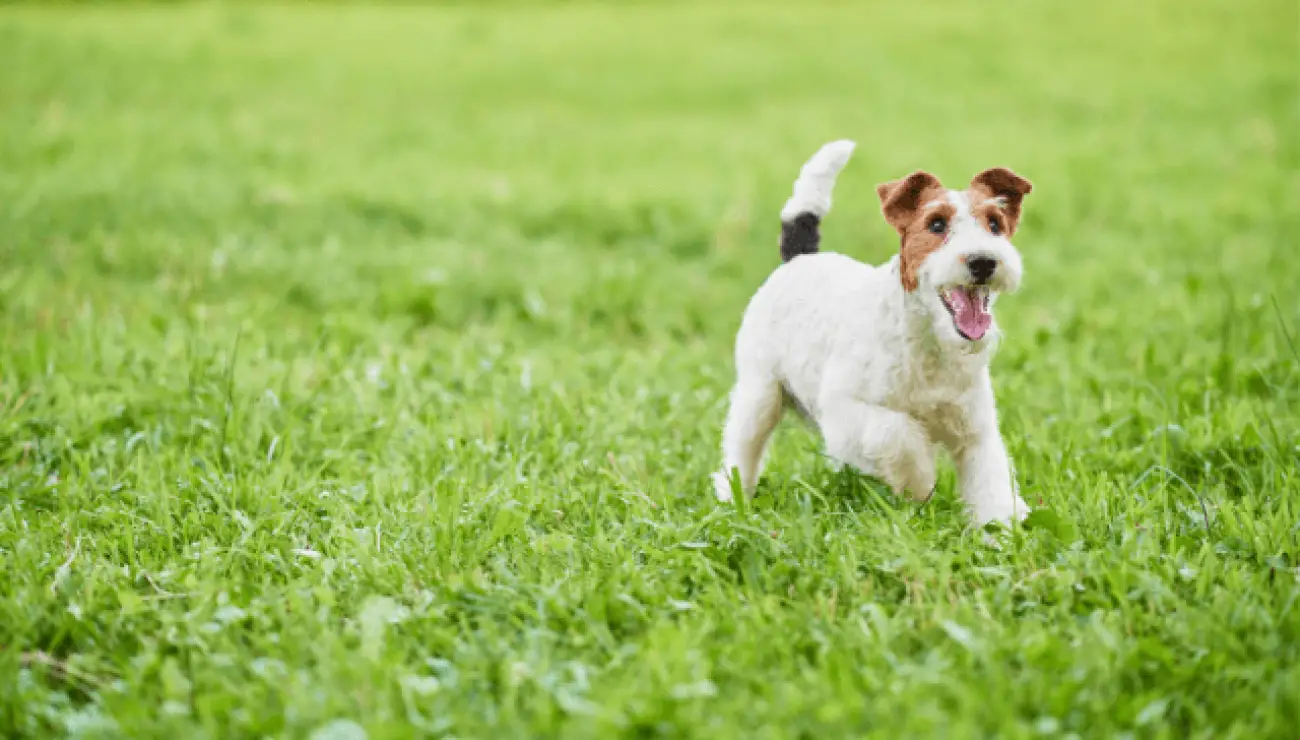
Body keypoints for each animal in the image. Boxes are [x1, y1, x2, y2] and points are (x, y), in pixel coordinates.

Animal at [712, 139, 1034, 525]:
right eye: (936, 224)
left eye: (995, 224)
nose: (983, 260)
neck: (930, 344)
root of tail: (799, 258)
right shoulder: (845, 408)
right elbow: (896, 434)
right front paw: (919, 483)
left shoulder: (975, 430)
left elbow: (991, 482)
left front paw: (1002, 528)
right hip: (759, 392)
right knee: (740, 451)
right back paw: (733, 502)